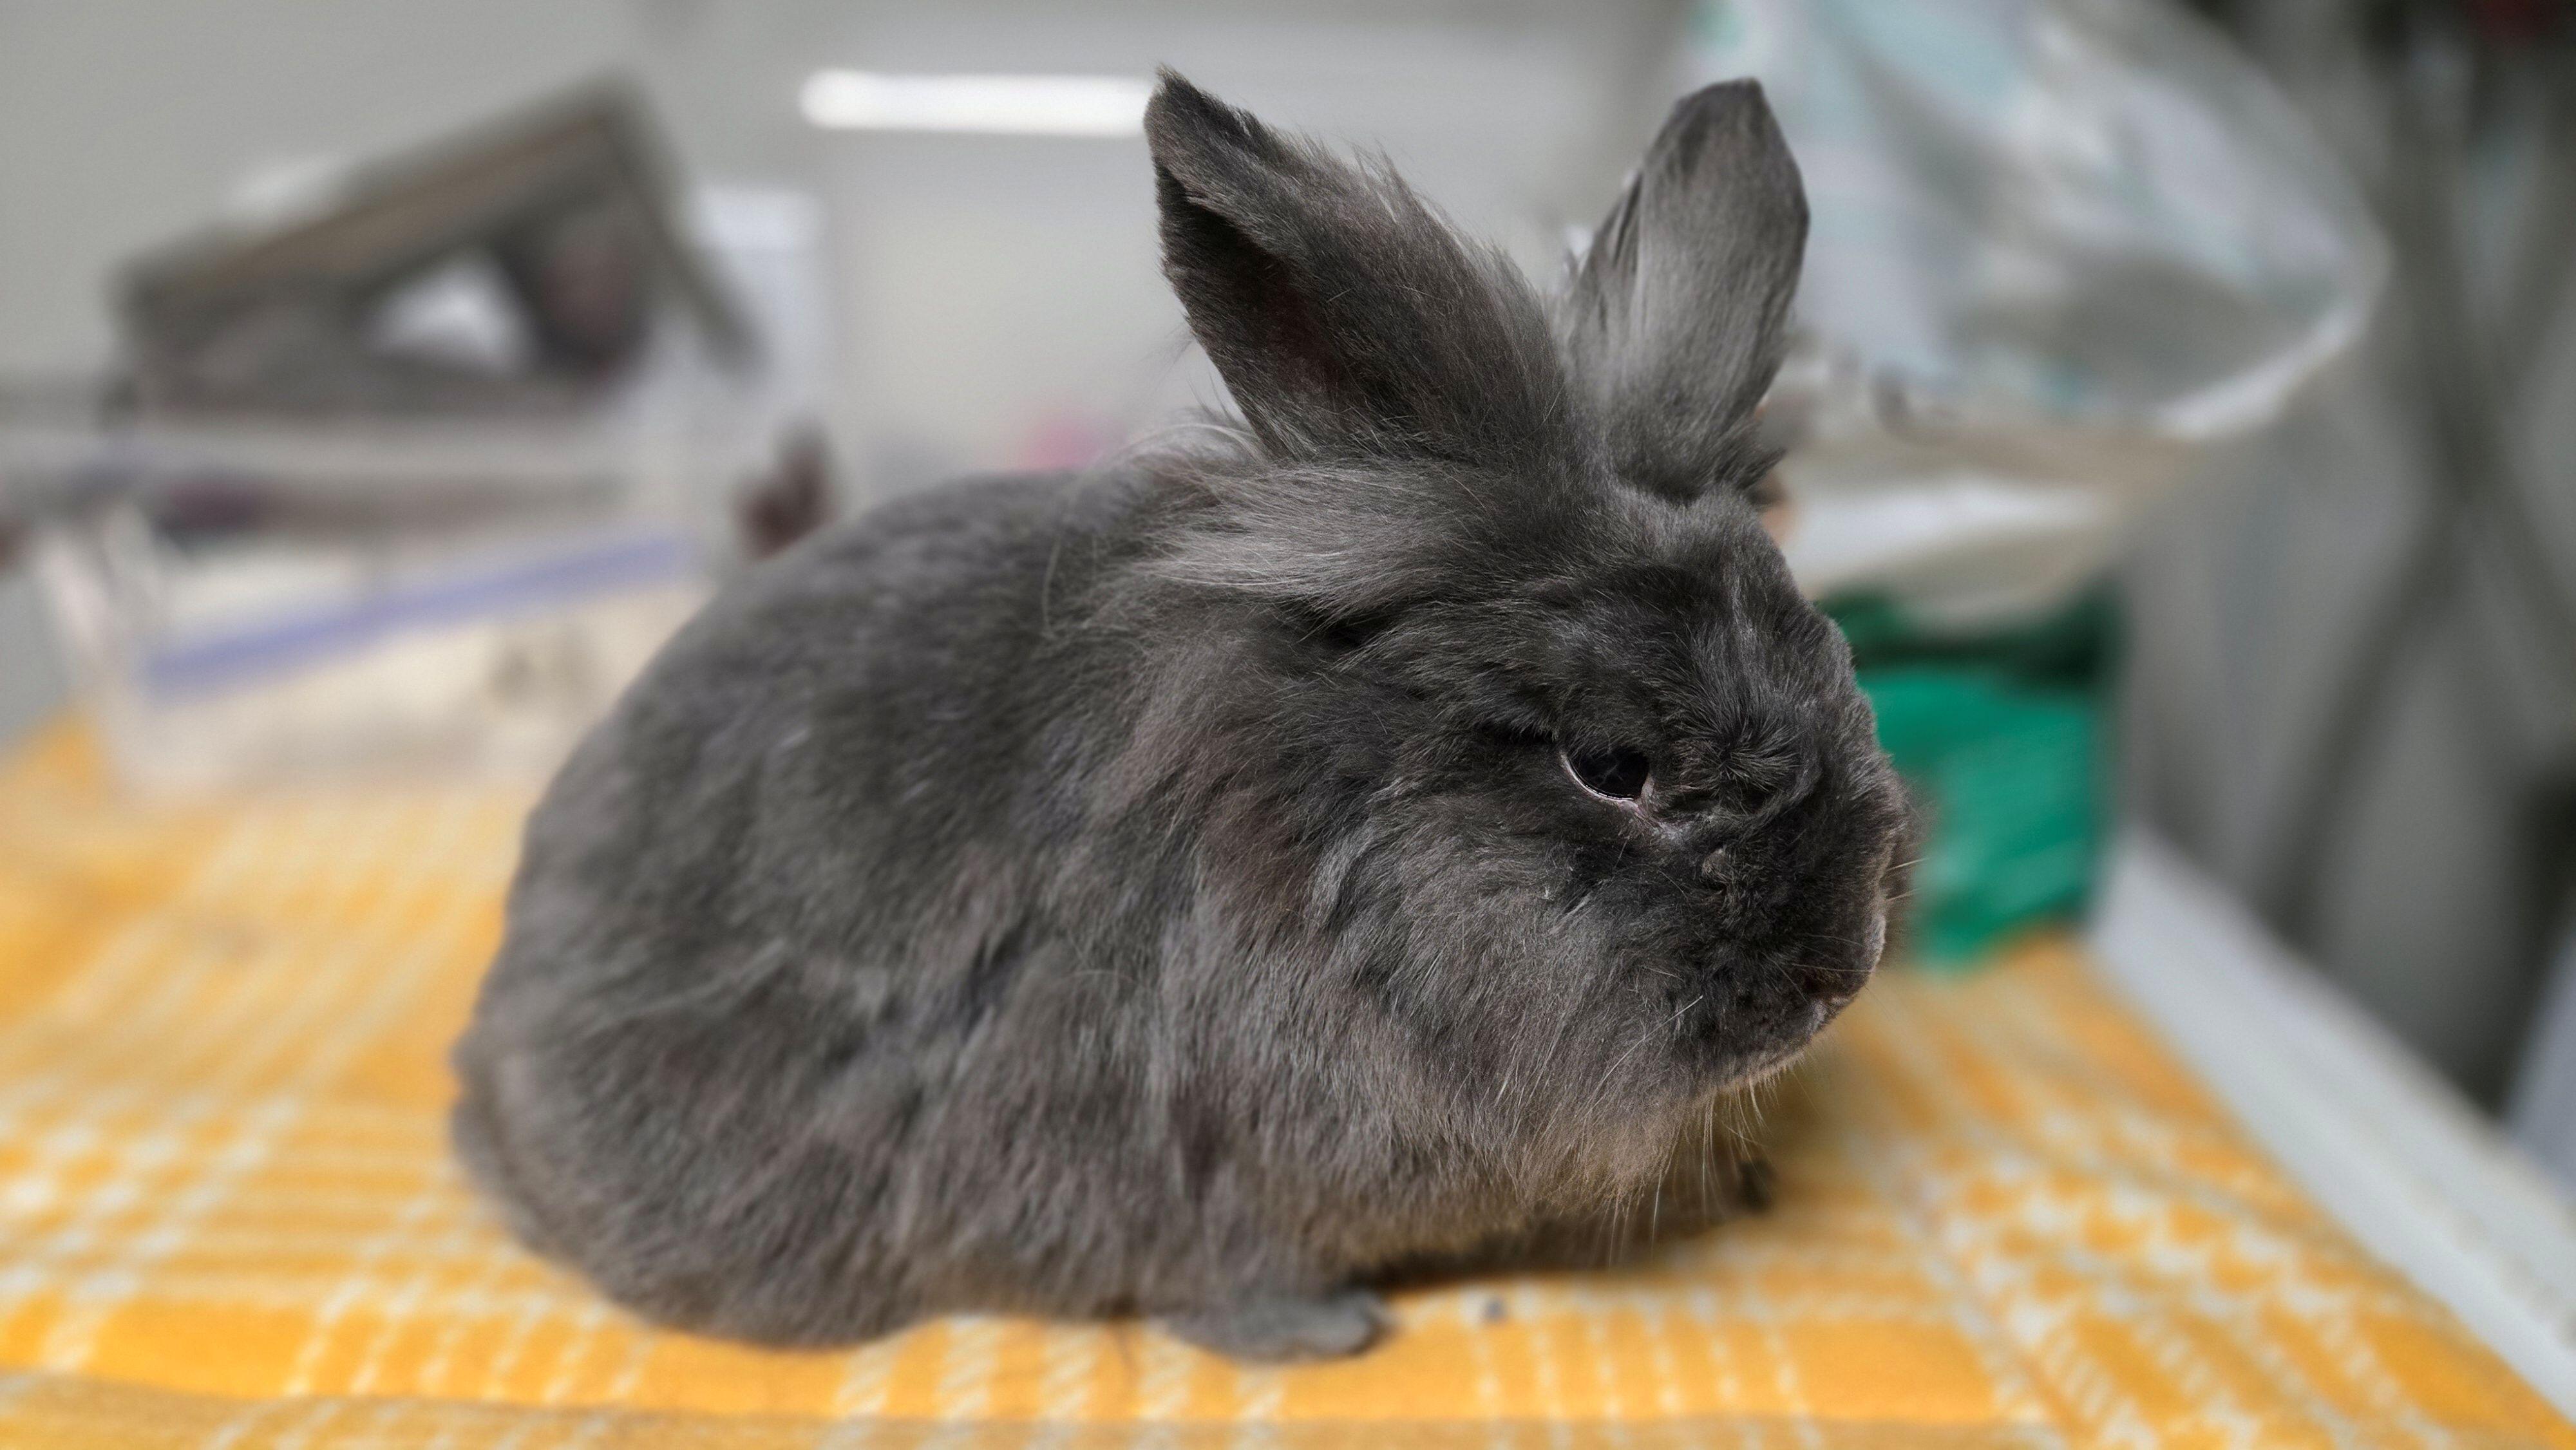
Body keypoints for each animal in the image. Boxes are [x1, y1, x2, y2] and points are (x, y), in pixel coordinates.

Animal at [450, 70, 1910, 1364]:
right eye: (1611, 762)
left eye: (1834, 658)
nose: (1837, 977)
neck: (1315, 847)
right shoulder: (1179, 1164)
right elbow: (1222, 1272)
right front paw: (1325, 1335)